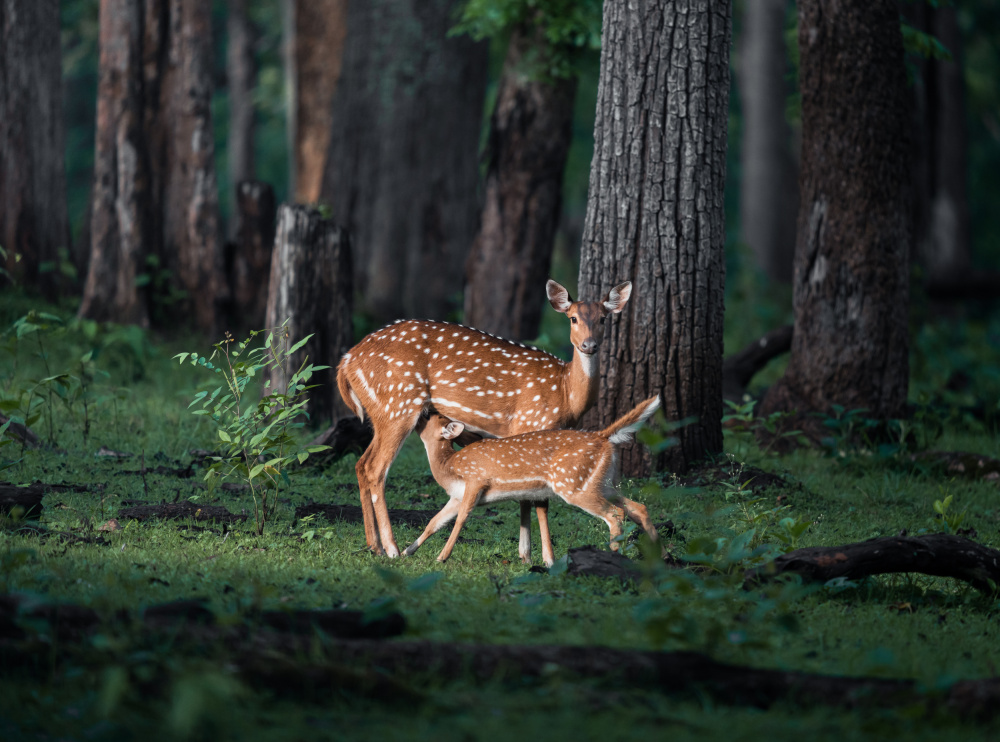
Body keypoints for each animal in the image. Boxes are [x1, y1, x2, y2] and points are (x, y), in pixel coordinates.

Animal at [336, 279, 633, 558]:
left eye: (603, 318)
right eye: (573, 318)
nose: (589, 345)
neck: (567, 395)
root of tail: (346, 362)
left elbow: (526, 496)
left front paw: (525, 554)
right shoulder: (530, 423)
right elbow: (539, 500)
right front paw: (544, 557)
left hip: (380, 414)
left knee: (361, 464)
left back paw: (373, 545)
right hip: (398, 405)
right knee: (376, 469)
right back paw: (392, 548)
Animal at [404, 396, 663, 564]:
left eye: (433, 415)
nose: (423, 409)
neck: (449, 466)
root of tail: (603, 437)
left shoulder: (475, 482)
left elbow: (460, 520)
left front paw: (441, 557)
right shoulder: (456, 496)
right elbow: (434, 522)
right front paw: (408, 551)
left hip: (574, 485)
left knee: (615, 514)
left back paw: (616, 555)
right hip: (604, 483)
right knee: (639, 507)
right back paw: (660, 556)